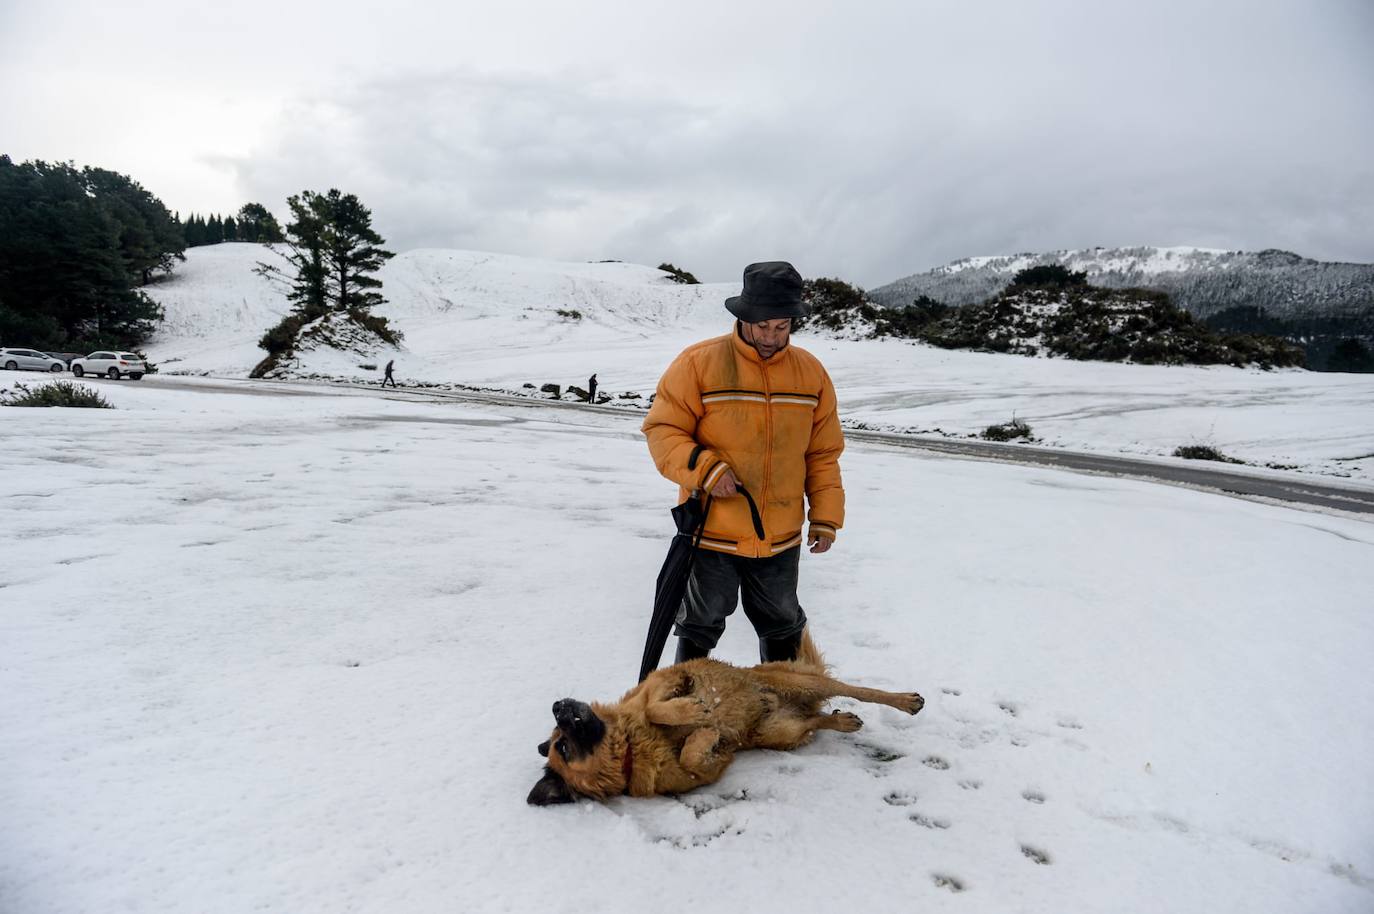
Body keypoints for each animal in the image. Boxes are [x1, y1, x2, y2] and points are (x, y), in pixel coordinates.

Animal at [524, 632, 923, 802]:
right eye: (563, 747)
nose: (558, 706)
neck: (633, 748)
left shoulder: (662, 681)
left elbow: (656, 705)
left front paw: (693, 712)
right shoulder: (703, 773)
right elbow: (693, 756)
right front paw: (705, 736)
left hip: (799, 681)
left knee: (857, 689)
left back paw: (906, 700)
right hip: (779, 734)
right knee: (815, 720)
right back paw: (841, 721)